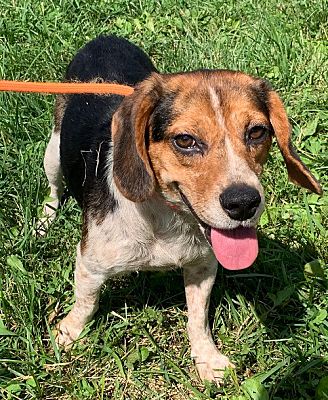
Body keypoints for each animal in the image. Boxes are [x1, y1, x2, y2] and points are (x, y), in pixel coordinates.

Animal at [40, 36, 320, 382]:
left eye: (257, 132)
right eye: (186, 140)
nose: (243, 202)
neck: (167, 219)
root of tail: (104, 39)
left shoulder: (203, 265)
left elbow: (198, 318)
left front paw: (207, 358)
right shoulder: (90, 264)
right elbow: (85, 302)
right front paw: (69, 332)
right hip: (53, 154)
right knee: (54, 190)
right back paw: (44, 220)